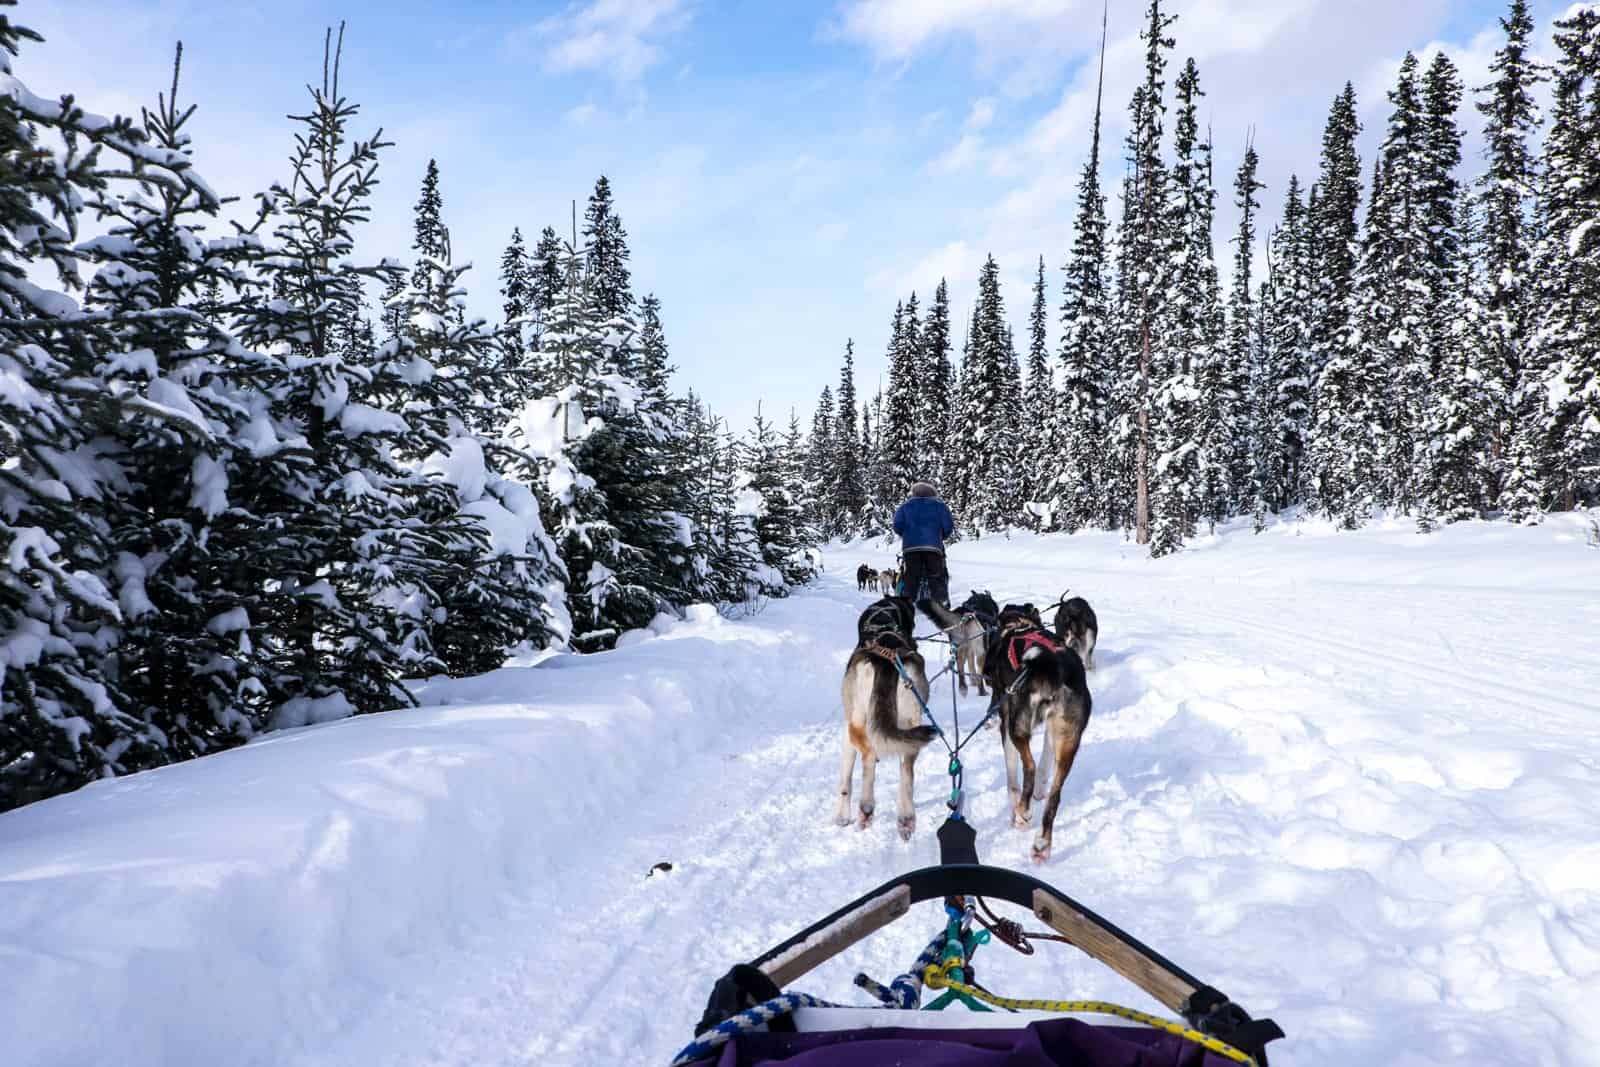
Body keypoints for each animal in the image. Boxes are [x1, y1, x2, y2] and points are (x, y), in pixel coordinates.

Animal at [838, 601, 934, 831]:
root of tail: (887, 661)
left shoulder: (848, 730)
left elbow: (845, 780)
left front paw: (841, 816)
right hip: (912, 724)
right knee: (907, 767)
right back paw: (906, 817)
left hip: (856, 723)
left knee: (869, 755)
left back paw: (866, 807)